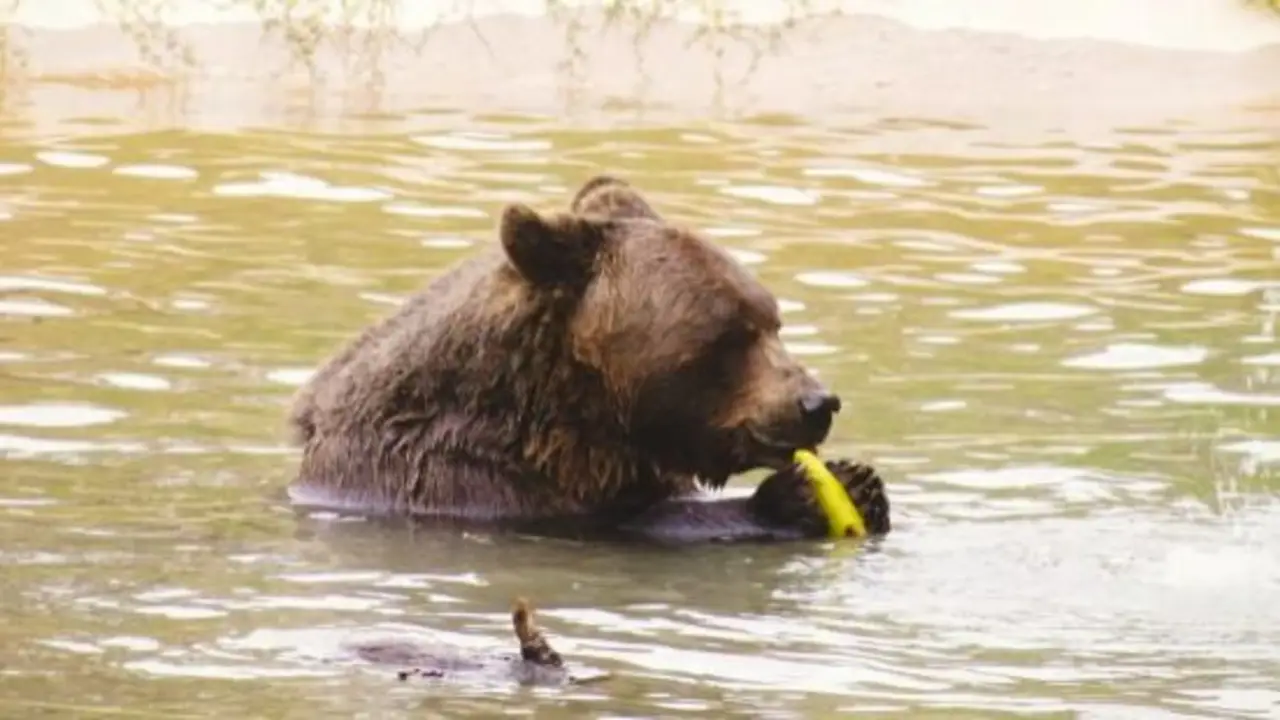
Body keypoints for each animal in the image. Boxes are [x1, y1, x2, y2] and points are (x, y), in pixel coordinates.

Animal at [286, 175, 890, 541]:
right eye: (731, 335)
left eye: (772, 321)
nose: (817, 402)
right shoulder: (470, 486)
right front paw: (803, 495)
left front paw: (863, 483)